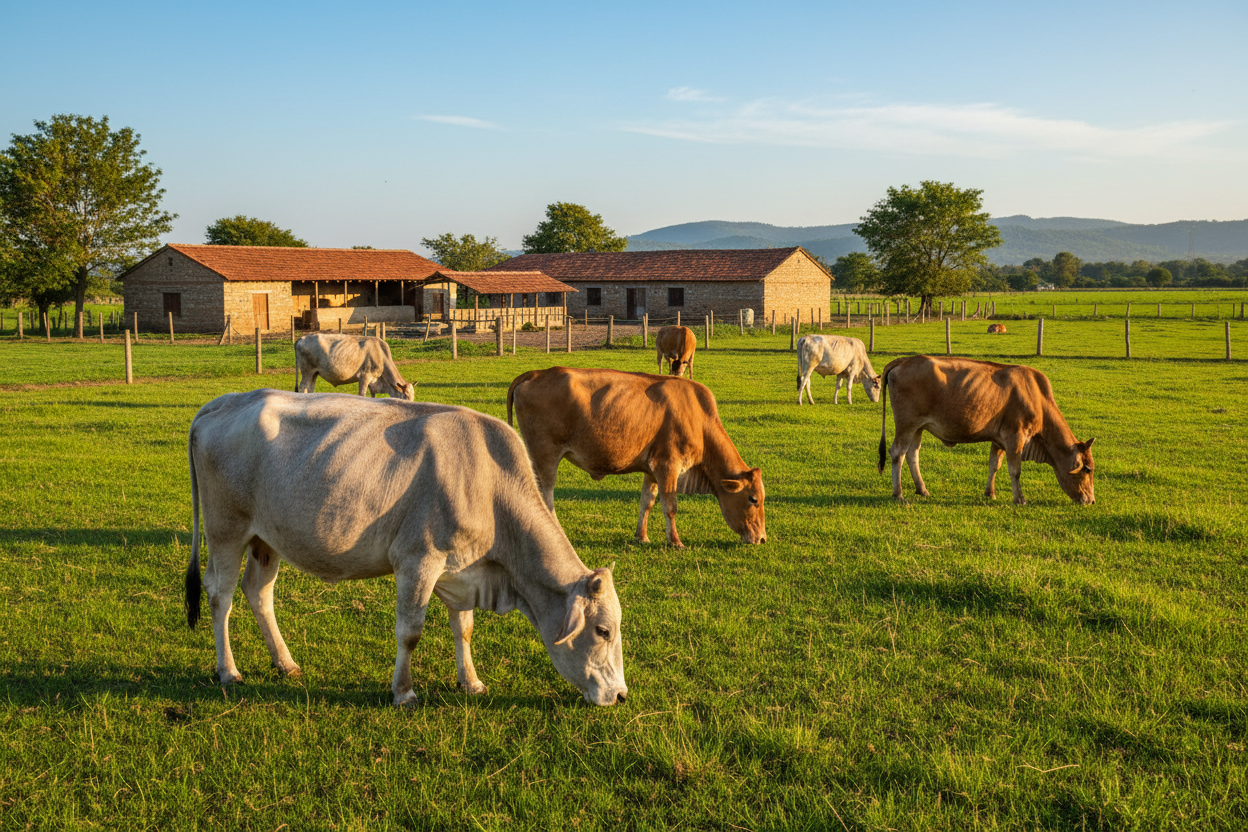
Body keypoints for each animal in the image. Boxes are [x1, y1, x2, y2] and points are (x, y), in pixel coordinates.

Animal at [185, 389, 627, 707]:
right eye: (603, 630)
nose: (621, 695)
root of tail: (222, 402)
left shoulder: (462, 568)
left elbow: (464, 628)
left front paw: (471, 681)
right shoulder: (418, 561)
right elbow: (410, 632)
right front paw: (404, 692)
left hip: (266, 539)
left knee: (259, 593)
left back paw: (285, 662)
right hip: (225, 530)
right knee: (220, 595)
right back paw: (228, 671)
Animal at [507, 367, 765, 548]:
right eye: (753, 499)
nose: (762, 538)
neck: (700, 420)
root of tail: (537, 373)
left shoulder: (651, 470)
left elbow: (646, 502)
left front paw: (641, 536)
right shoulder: (668, 466)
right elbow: (670, 506)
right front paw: (675, 541)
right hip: (545, 457)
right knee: (545, 496)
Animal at [877, 355, 1095, 505]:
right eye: (1087, 469)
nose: (1091, 500)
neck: (1038, 398)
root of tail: (906, 359)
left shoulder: (999, 440)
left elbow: (994, 466)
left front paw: (990, 493)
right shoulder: (1015, 438)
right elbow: (1015, 471)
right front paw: (1020, 499)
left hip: (918, 428)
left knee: (912, 454)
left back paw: (922, 489)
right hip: (906, 425)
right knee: (898, 453)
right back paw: (898, 493)